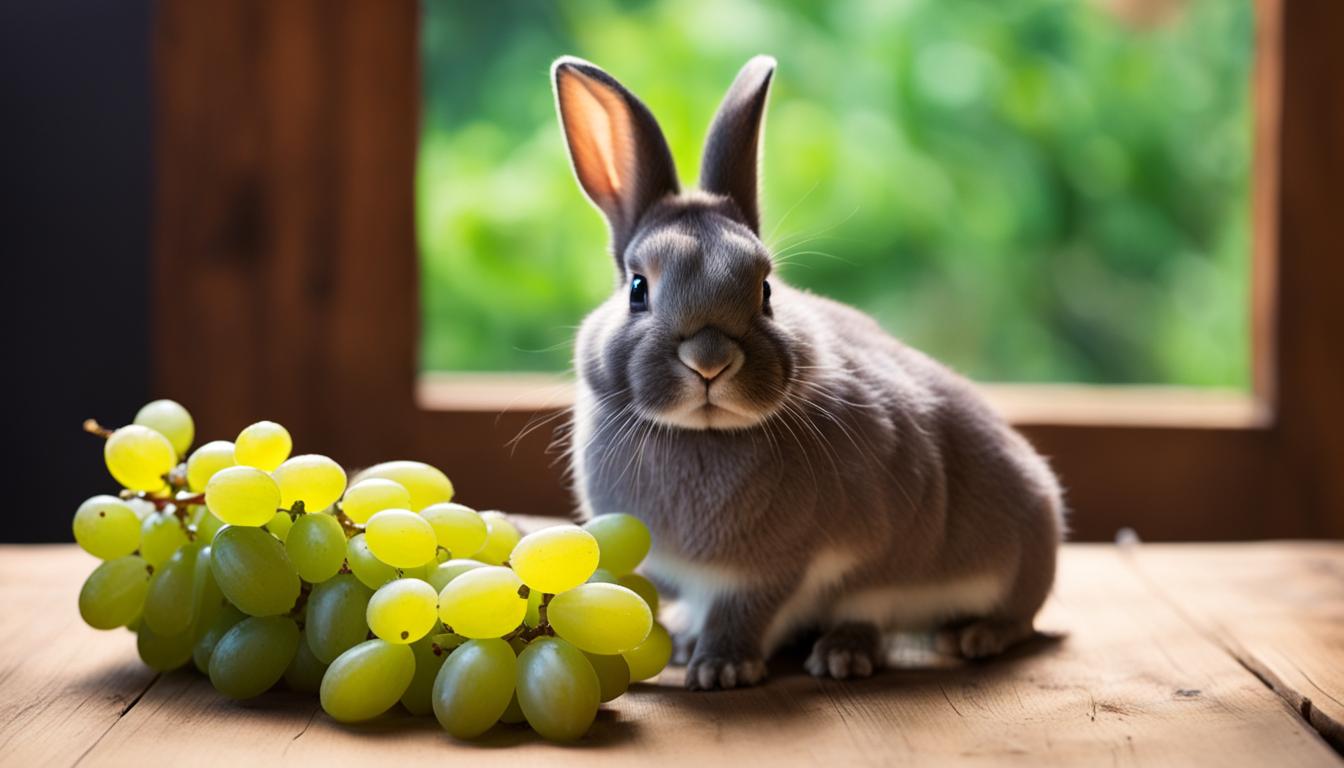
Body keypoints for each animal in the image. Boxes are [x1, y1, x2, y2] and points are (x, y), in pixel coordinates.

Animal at [551, 54, 1064, 688]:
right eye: (638, 290)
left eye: (766, 290)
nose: (710, 361)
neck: (704, 434)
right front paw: (690, 649)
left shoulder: (777, 569)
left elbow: (748, 612)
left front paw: (721, 669)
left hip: (1002, 559)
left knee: (995, 617)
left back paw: (947, 640)